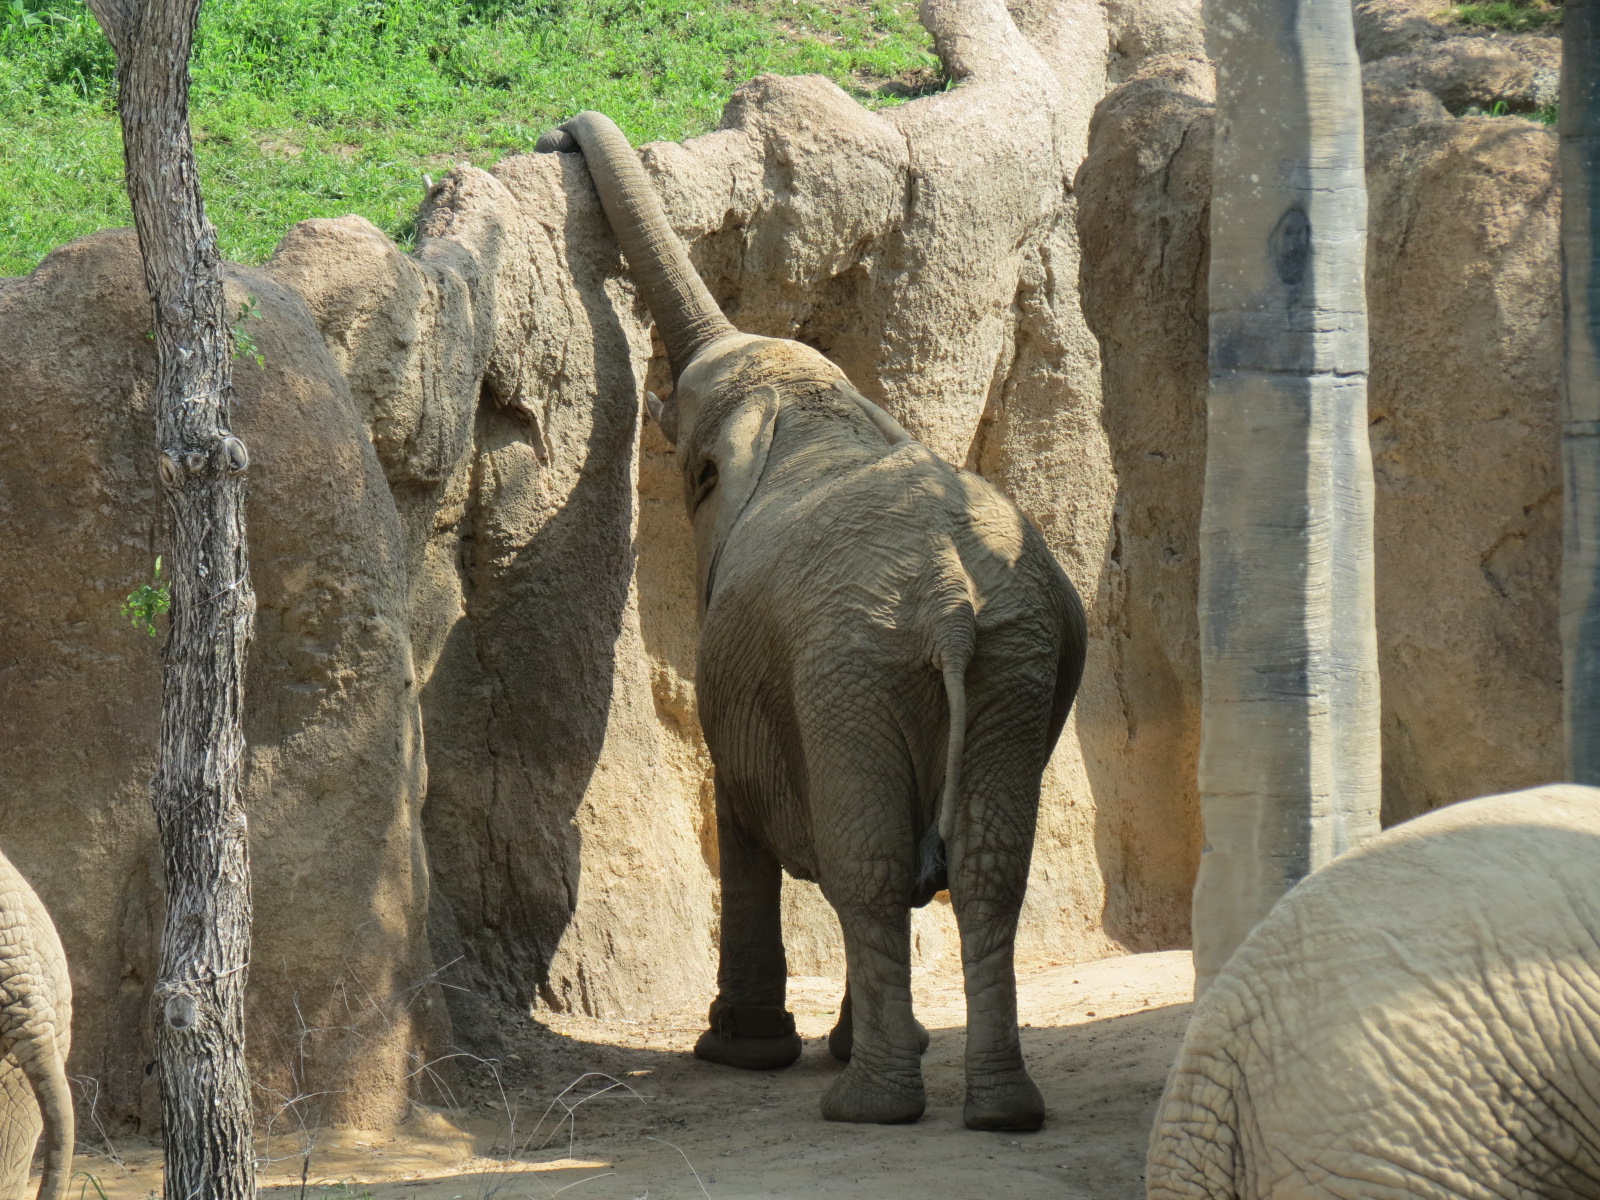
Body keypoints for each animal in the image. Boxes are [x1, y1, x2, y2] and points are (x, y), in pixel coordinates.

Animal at [536, 111, 1086, 1130]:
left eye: (695, 474)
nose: (559, 133)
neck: (816, 410)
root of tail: (951, 604)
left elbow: (744, 818)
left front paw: (740, 1051)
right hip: (1009, 666)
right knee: (985, 866)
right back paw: (1000, 1111)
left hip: (850, 671)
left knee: (865, 862)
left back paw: (868, 1104)